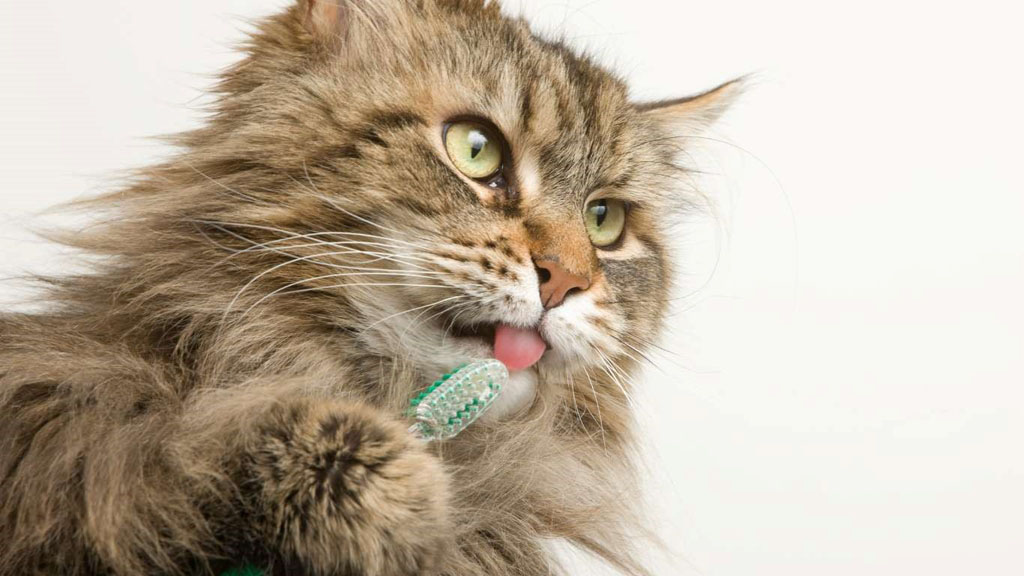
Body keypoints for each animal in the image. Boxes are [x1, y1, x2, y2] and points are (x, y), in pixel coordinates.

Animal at [0, 1, 737, 573]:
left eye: (604, 221)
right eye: (476, 150)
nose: (568, 280)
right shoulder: (67, 435)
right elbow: (196, 442)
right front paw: (391, 491)